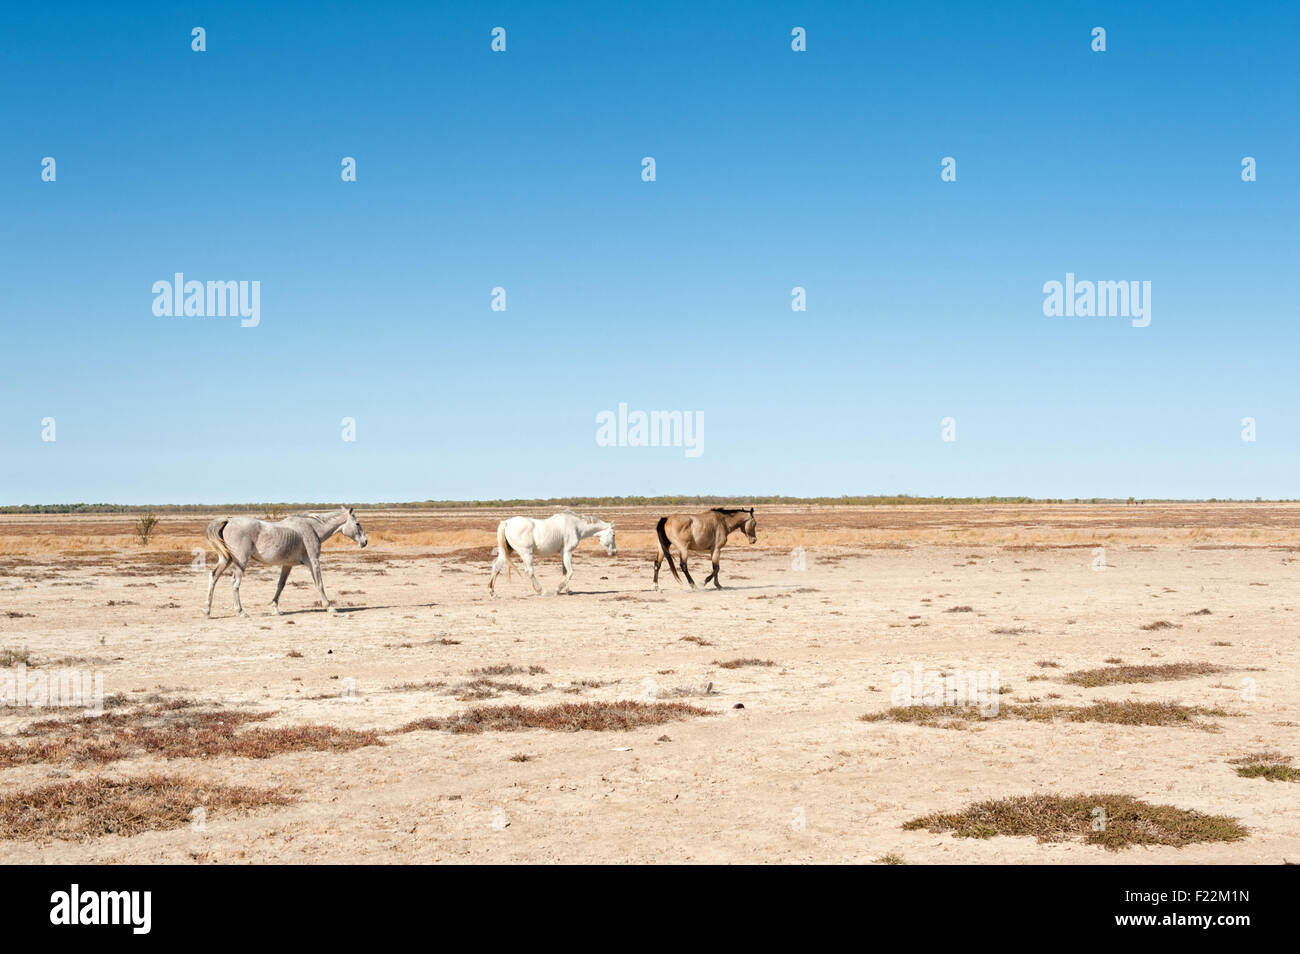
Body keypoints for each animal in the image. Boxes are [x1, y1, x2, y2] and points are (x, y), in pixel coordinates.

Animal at [204, 509, 366, 621]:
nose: (365, 542)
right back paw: (241, 611)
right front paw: (330, 608)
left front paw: (275, 609)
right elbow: (319, 584)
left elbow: (280, 585)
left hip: (226, 560)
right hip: (240, 562)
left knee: (213, 577)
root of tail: (229, 521)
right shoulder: (314, 561)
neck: (312, 528)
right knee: (235, 583)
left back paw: (207, 611)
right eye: (357, 523)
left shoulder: (287, 565)